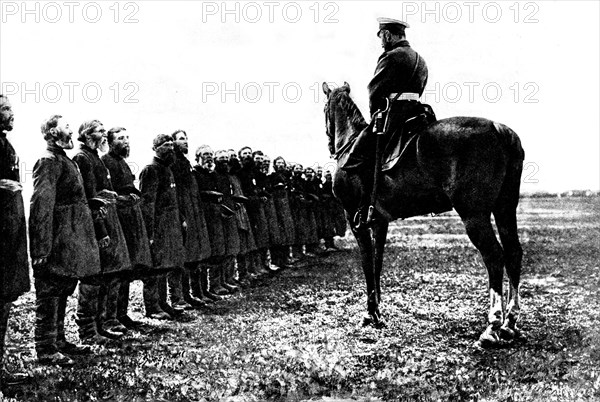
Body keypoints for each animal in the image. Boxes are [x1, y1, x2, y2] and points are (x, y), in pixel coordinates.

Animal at [324, 81, 524, 346]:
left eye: (325, 109)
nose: (330, 145)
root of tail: (500, 129)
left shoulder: (356, 221)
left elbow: (367, 264)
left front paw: (370, 314)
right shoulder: (379, 222)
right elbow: (377, 263)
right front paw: (378, 311)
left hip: (475, 215)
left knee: (494, 256)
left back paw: (491, 328)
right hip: (505, 209)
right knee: (513, 253)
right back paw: (509, 323)